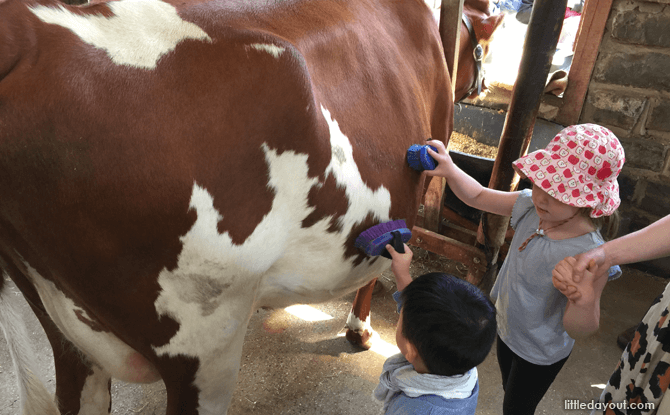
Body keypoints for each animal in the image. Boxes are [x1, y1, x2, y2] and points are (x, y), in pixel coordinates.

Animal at [0, 0, 504, 415]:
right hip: (206, 338)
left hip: (55, 326)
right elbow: (384, 260)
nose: (481, 88)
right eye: (486, 45)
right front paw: (360, 327)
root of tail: (28, 34)